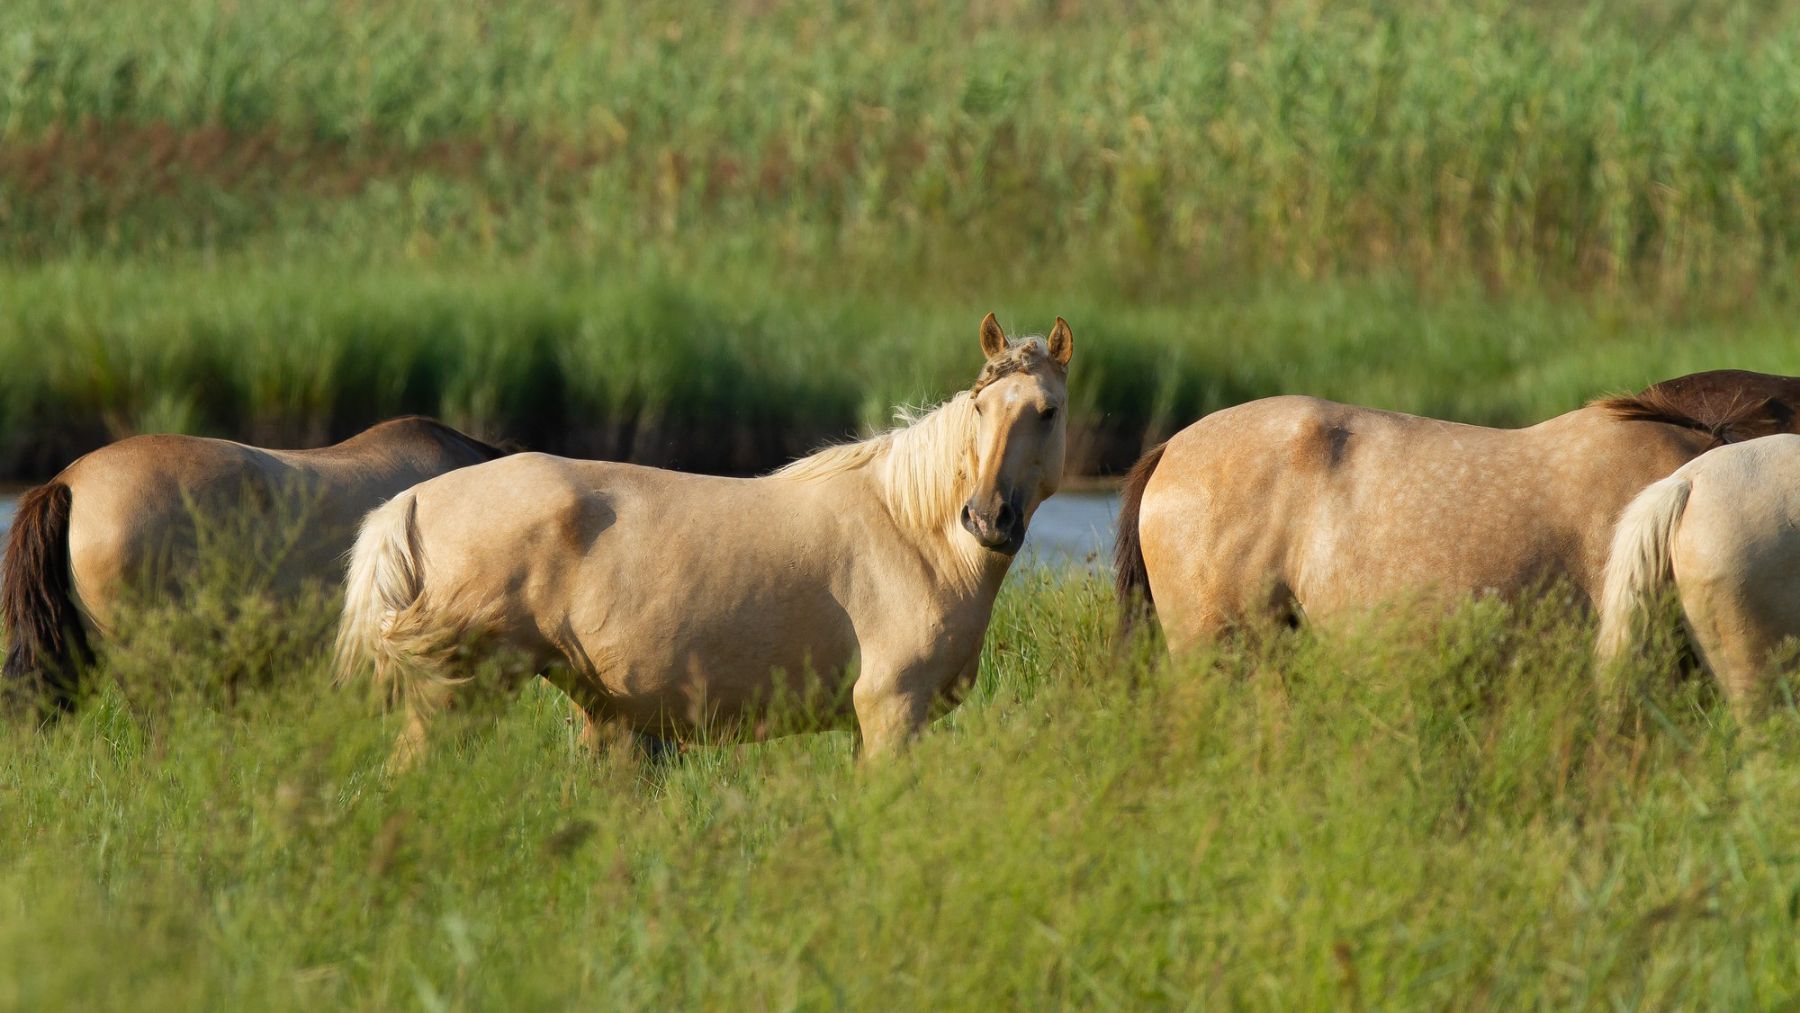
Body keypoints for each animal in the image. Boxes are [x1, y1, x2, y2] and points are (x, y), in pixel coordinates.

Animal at [334, 314, 1073, 766]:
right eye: (979, 407)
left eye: (1047, 411)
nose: (988, 518)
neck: (911, 532)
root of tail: (413, 501)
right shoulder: (892, 711)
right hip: (454, 697)